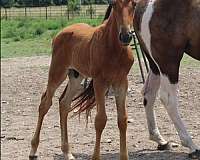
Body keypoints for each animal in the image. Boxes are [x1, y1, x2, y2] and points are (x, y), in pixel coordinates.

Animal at [29, 0, 136, 160]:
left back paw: (67, 152)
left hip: (76, 76)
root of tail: (60, 33)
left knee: (64, 104)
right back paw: (33, 150)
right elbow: (100, 120)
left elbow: (122, 120)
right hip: (57, 72)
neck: (113, 48)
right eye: (113, 4)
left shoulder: (121, 82)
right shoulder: (99, 82)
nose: (125, 36)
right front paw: (95, 157)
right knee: (45, 104)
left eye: (134, 4)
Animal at [104, 0, 200, 158]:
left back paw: (160, 140)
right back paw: (192, 146)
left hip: (155, 65)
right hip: (168, 61)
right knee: (168, 99)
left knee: (149, 94)